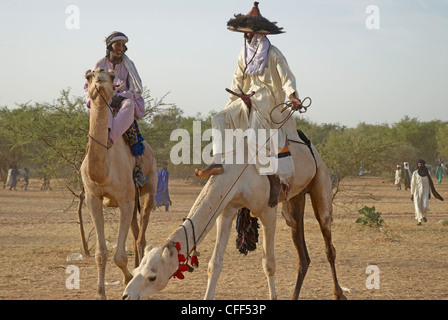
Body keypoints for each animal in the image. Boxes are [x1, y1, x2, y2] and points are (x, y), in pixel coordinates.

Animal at [82, 67, 158, 300]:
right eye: (88, 76)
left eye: (111, 76)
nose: (99, 75)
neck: (103, 172)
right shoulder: (92, 198)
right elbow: (100, 253)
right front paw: (101, 293)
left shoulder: (125, 200)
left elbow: (119, 256)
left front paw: (129, 281)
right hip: (132, 200)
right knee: (135, 232)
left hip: (149, 188)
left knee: (141, 235)